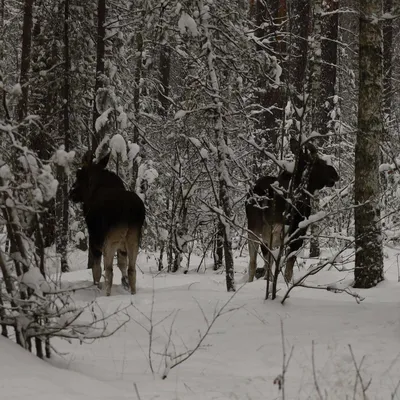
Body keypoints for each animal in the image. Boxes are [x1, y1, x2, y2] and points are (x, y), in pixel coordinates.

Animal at [69, 152, 146, 296]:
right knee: (131, 269)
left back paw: (107, 295)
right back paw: (133, 292)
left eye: (78, 174)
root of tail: (129, 211)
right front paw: (124, 283)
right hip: (133, 239)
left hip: (110, 239)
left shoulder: (94, 240)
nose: (71, 193)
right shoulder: (122, 246)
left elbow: (96, 269)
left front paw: (97, 287)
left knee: (109, 271)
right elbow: (122, 264)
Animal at [245, 139, 340, 282]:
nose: (335, 174)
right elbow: (289, 266)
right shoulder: (298, 231)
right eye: (318, 162)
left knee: (256, 262)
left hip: (255, 230)